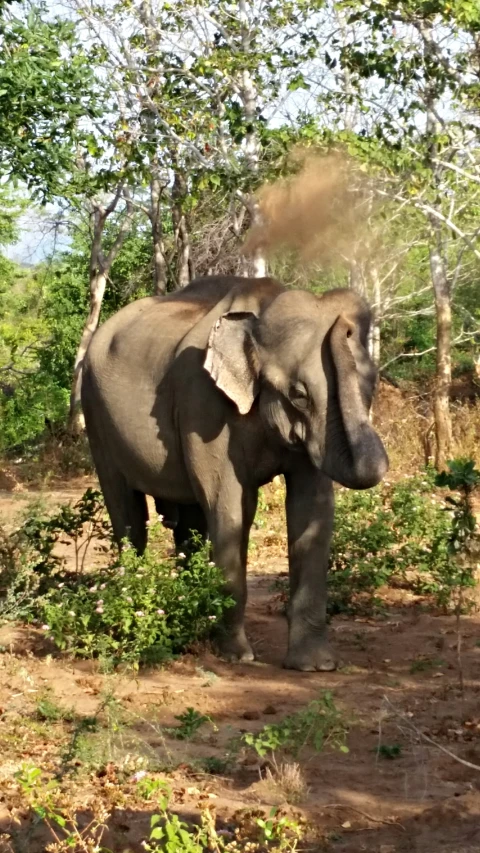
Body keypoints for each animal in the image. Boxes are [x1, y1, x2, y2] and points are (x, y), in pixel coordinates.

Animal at [81, 276, 390, 668]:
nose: (344, 324)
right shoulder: (203, 406)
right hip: (95, 414)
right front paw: (237, 657)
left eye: (372, 384)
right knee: (128, 514)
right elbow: (229, 504)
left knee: (189, 524)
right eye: (299, 394)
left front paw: (315, 665)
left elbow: (312, 509)